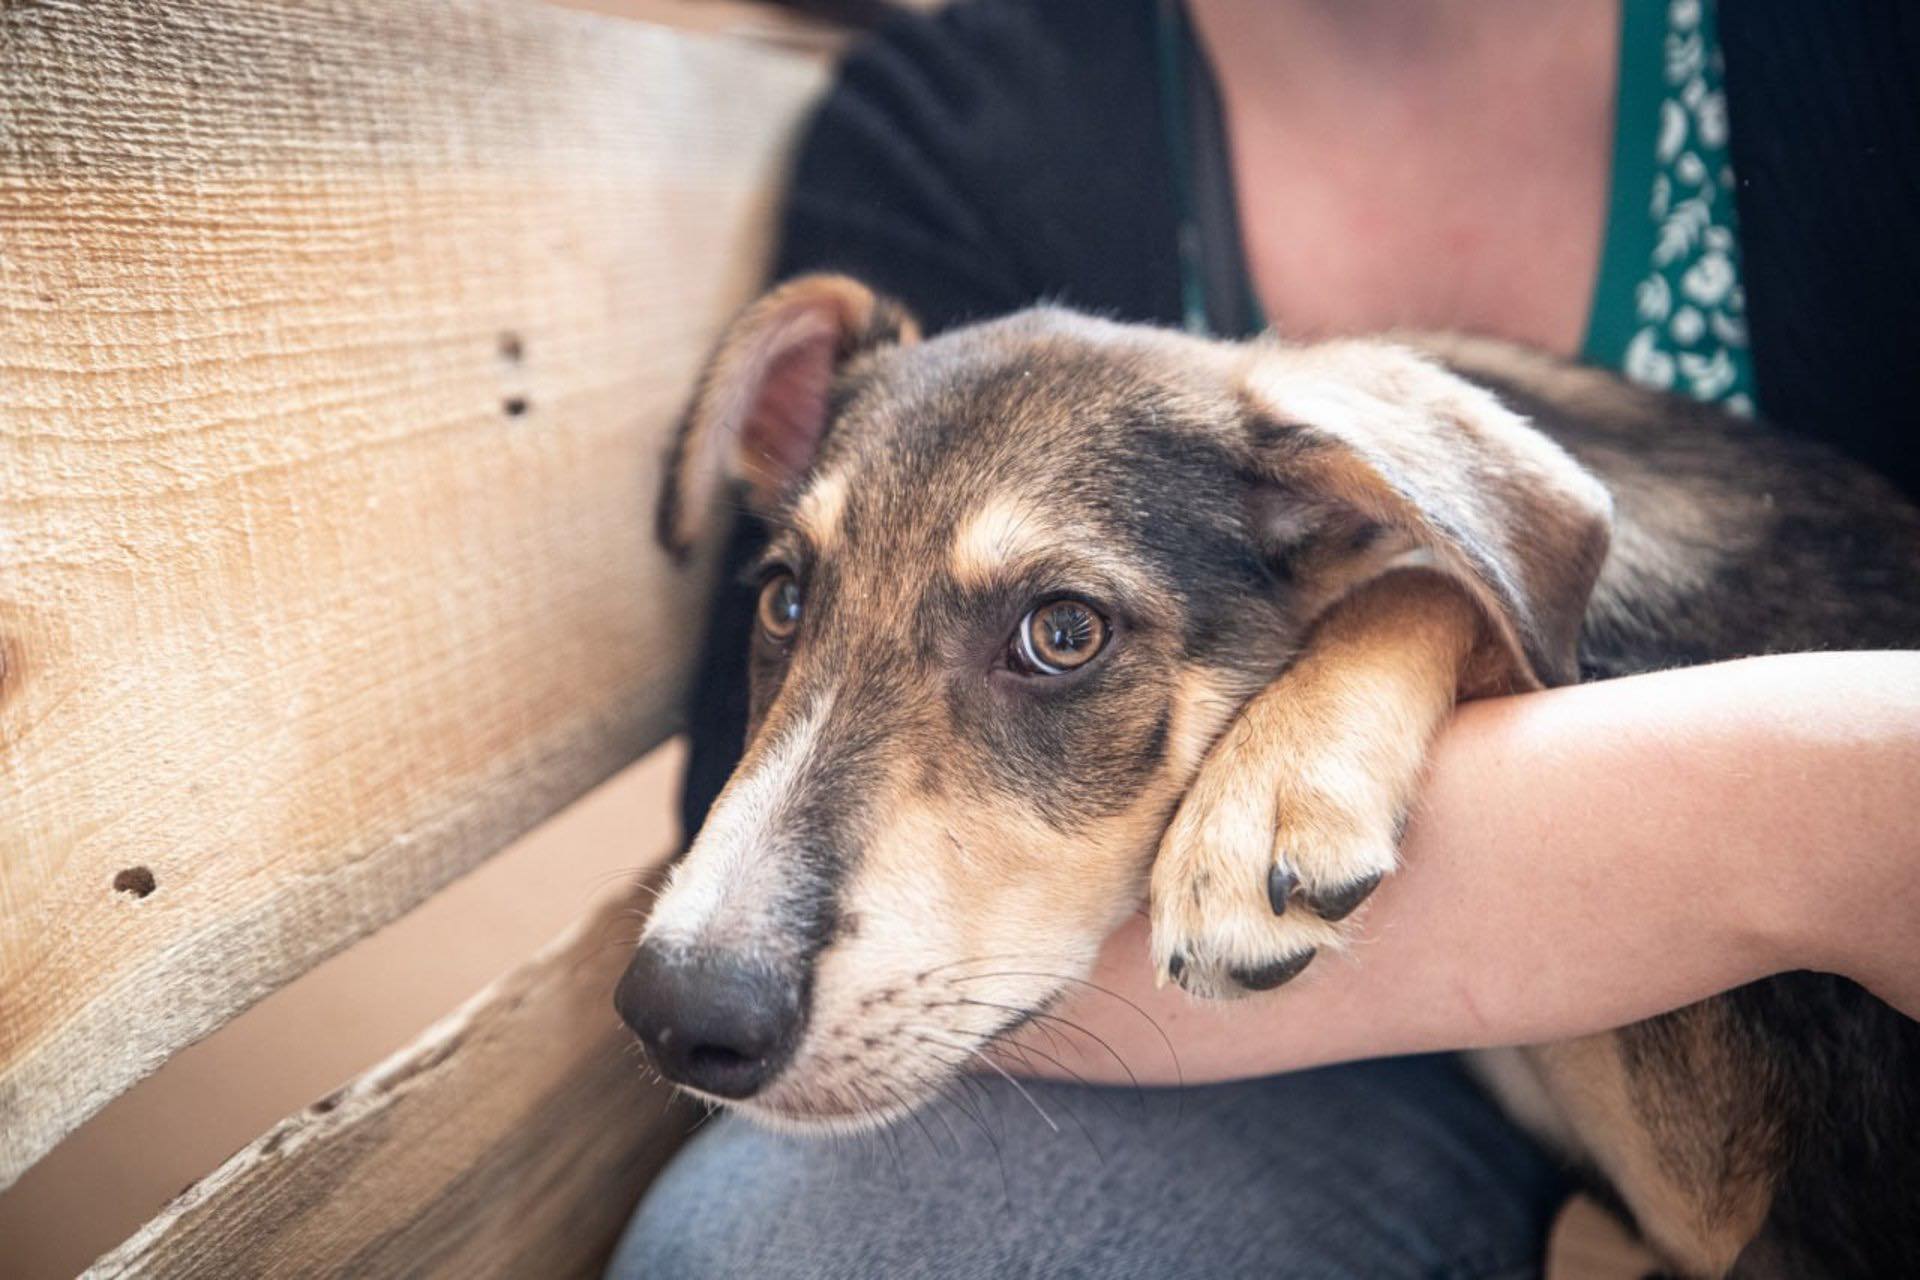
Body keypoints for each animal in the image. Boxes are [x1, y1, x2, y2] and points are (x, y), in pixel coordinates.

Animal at [616, 274, 1920, 1277]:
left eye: (1063, 632)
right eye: (785, 601)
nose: (680, 1014)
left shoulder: (1716, 1183)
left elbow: (1426, 573)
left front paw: (1266, 797)